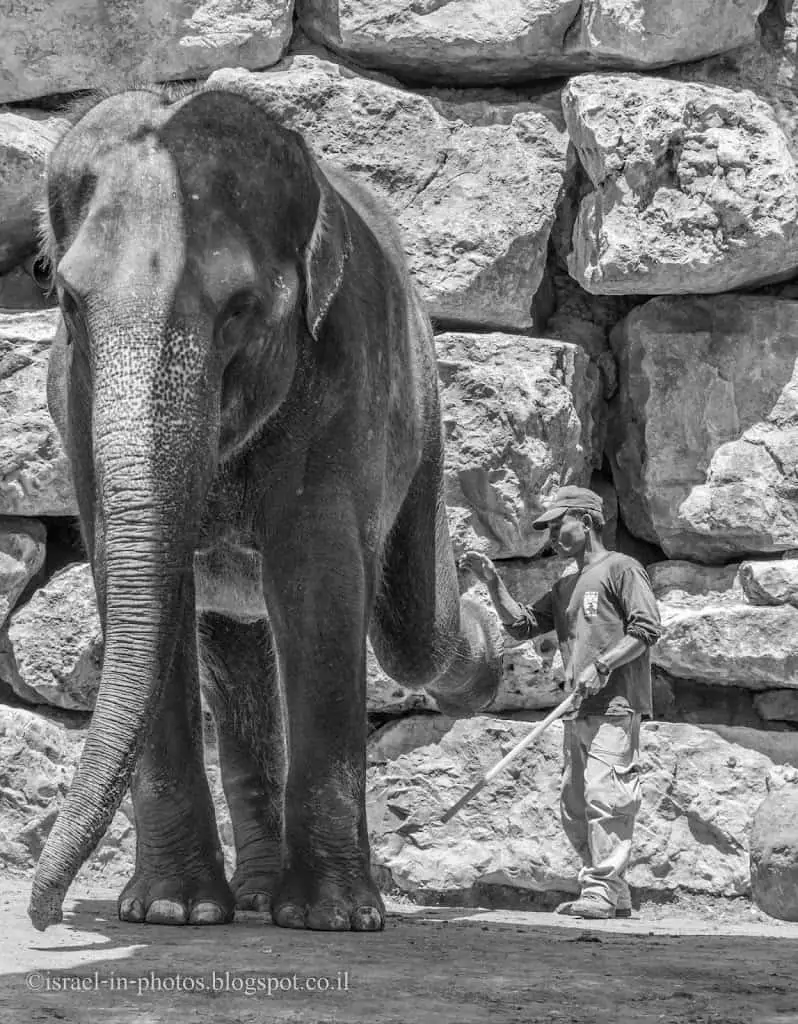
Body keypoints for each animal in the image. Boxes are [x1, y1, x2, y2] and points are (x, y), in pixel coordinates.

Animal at [31, 88, 501, 933]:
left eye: (240, 309)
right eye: (70, 304)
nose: (42, 915)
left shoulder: (346, 376)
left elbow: (318, 582)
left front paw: (333, 920)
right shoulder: (75, 403)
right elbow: (139, 581)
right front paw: (171, 913)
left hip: (424, 419)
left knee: (411, 637)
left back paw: (493, 637)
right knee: (236, 647)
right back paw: (248, 898)